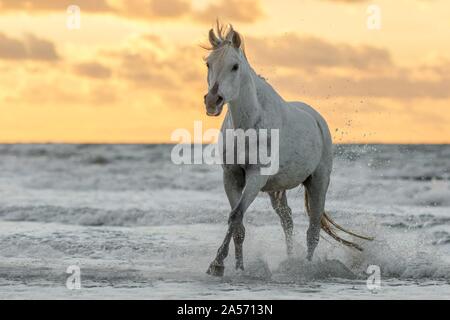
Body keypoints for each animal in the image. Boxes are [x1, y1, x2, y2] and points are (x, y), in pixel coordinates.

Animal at [204, 23, 372, 276]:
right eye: (208, 63)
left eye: (235, 66)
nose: (212, 101)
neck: (249, 124)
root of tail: (317, 119)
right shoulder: (231, 176)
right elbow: (238, 225)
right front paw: (239, 267)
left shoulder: (256, 176)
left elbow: (235, 216)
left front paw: (217, 264)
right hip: (277, 189)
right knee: (288, 220)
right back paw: (290, 260)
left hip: (318, 181)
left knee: (313, 231)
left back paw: (306, 266)